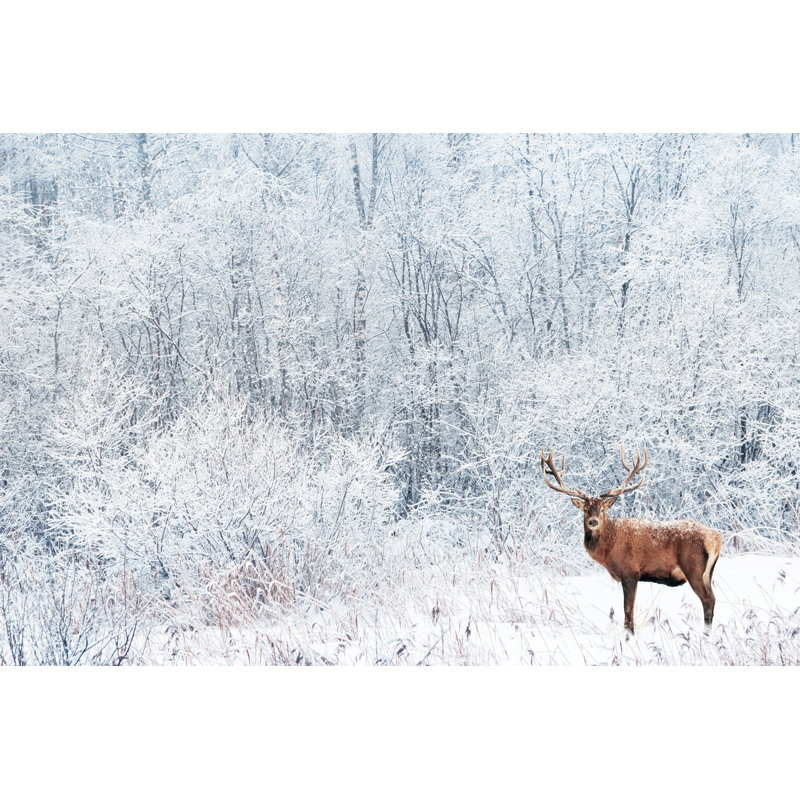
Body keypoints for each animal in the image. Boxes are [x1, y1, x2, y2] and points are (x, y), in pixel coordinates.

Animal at [540, 447, 723, 635]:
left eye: (603, 509)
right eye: (585, 509)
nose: (593, 521)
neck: (609, 549)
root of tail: (716, 538)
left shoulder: (630, 572)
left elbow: (628, 611)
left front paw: (629, 635)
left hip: (693, 568)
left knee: (707, 599)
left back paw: (705, 634)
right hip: (708, 572)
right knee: (713, 598)